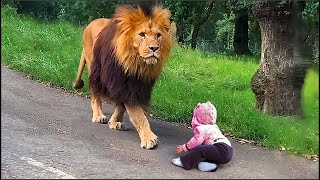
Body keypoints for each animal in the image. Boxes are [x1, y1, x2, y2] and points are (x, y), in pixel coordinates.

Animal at [72, 4, 174, 150]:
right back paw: (98, 115)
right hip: (94, 66)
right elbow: (138, 114)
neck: (137, 64)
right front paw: (149, 138)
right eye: (142, 34)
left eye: (158, 35)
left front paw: (115, 122)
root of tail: (91, 23)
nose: (154, 48)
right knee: (95, 93)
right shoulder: (121, 82)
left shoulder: (136, 85)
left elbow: (122, 106)